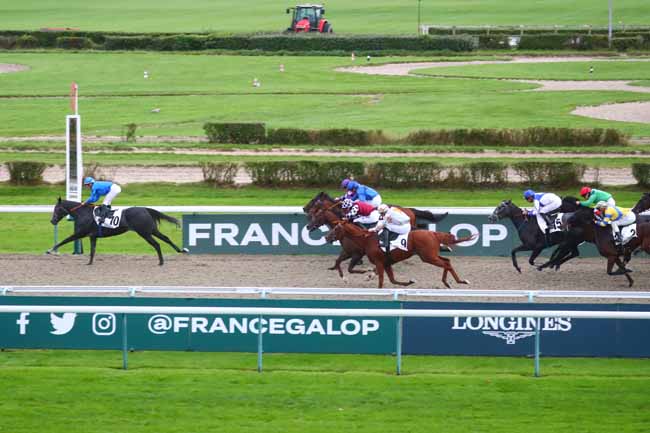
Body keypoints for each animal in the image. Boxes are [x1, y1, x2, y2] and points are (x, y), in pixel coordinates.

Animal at [47, 198, 185, 264]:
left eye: (57, 209)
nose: (52, 221)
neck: (83, 213)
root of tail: (145, 209)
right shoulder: (92, 236)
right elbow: (92, 250)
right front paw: (89, 263)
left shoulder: (80, 233)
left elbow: (65, 240)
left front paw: (50, 250)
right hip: (151, 230)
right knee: (166, 238)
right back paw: (180, 250)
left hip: (144, 233)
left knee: (156, 244)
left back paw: (161, 262)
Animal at [324, 221, 470, 288]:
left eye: (336, 228)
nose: (326, 237)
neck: (367, 239)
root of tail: (433, 233)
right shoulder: (386, 263)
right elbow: (393, 280)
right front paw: (410, 281)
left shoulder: (379, 262)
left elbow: (381, 281)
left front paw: (369, 275)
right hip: (431, 255)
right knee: (447, 261)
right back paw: (453, 282)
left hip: (428, 257)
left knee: (446, 263)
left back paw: (455, 281)